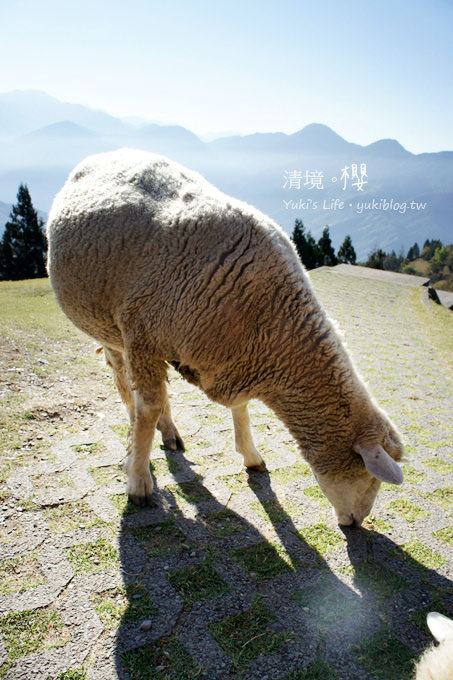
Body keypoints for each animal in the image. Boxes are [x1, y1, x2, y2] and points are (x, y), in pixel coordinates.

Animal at [46, 146, 402, 524]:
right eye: (370, 478)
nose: (356, 522)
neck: (273, 323)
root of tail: (109, 152)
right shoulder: (142, 334)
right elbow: (147, 410)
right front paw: (138, 480)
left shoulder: (234, 357)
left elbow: (239, 407)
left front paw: (250, 454)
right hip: (110, 328)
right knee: (129, 388)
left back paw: (169, 433)